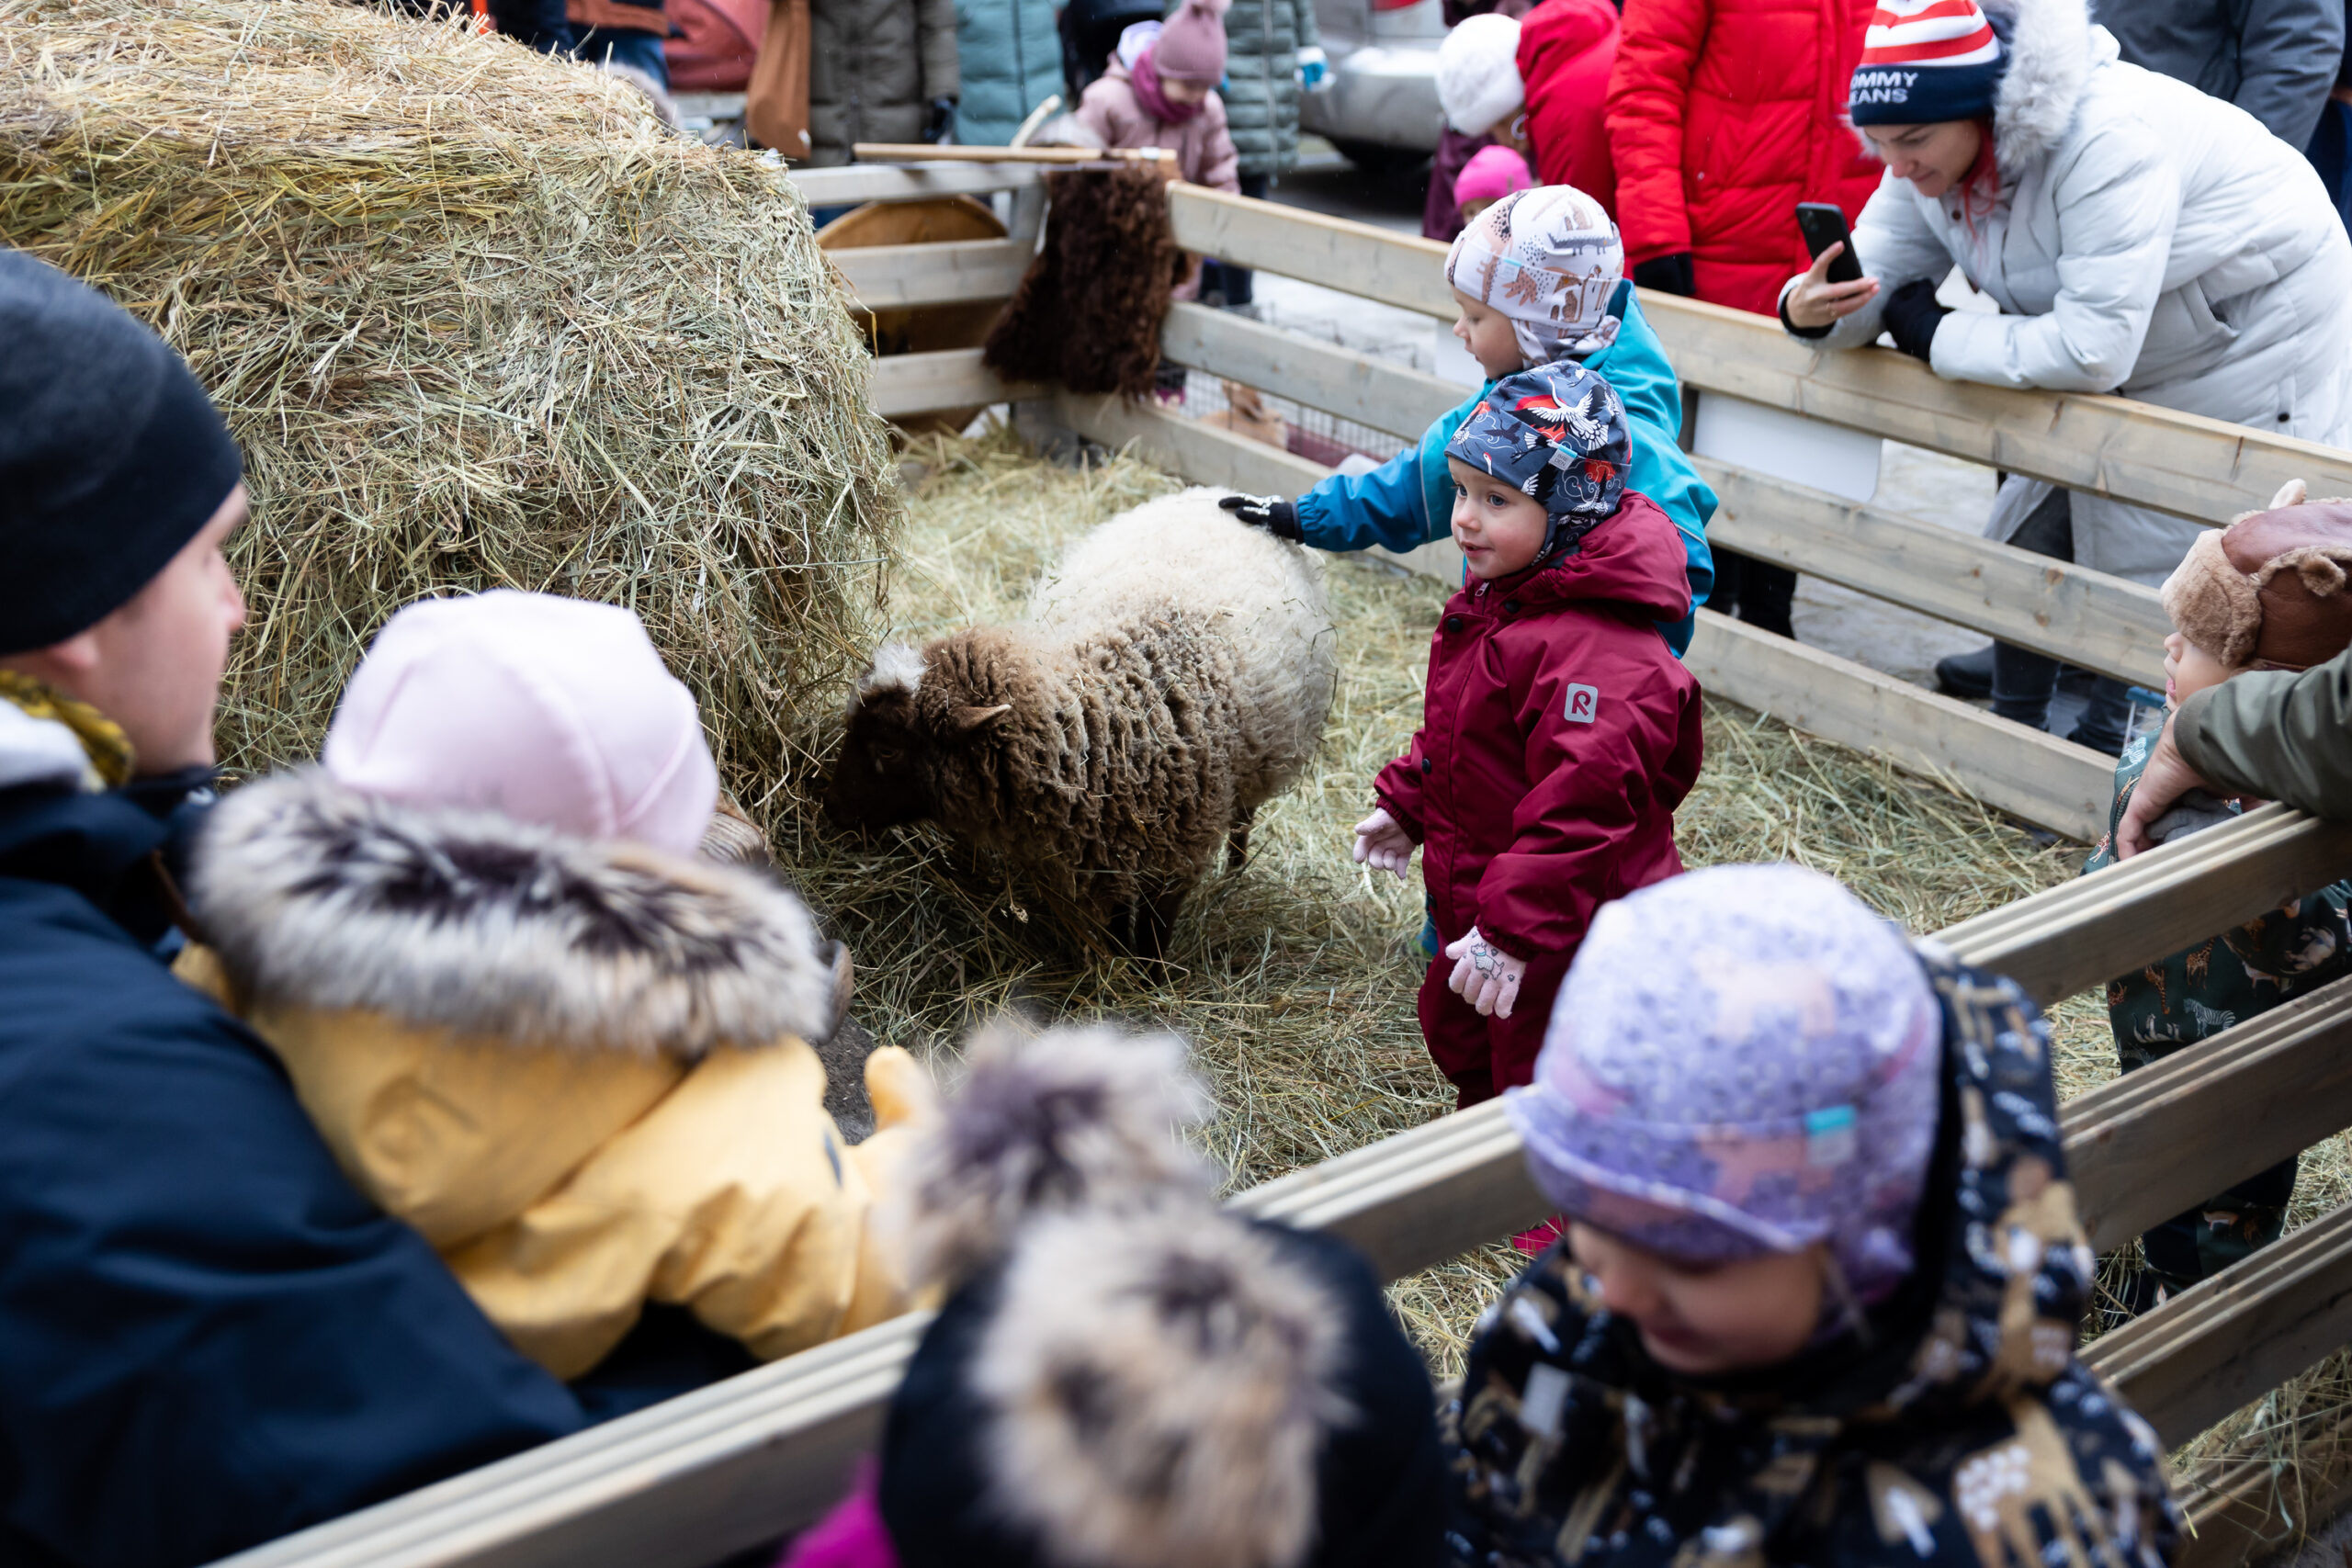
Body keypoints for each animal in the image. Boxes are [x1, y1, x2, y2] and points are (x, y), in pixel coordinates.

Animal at [828, 491, 1345, 959]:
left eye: (888, 747)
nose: (829, 806)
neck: (1107, 720)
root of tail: (1212, 493)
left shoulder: (1177, 860)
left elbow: (1155, 936)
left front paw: (1148, 981)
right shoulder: (1111, 854)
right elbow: (1118, 919)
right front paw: (1117, 961)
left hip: (1262, 762)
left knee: (1243, 819)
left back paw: (1234, 872)